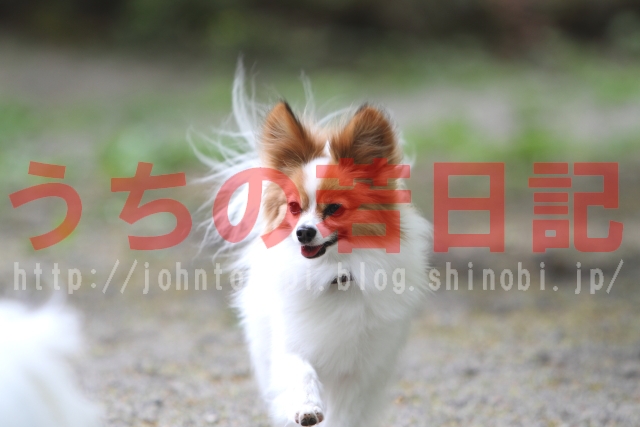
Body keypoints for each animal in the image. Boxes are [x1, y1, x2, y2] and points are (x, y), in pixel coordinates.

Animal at [201, 62, 431, 427]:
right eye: (295, 208)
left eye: (334, 208)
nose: (303, 232)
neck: (334, 273)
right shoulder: (291, 344)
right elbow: (301, 372)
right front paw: (306, 406)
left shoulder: (360, 372)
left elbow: (347, 412)